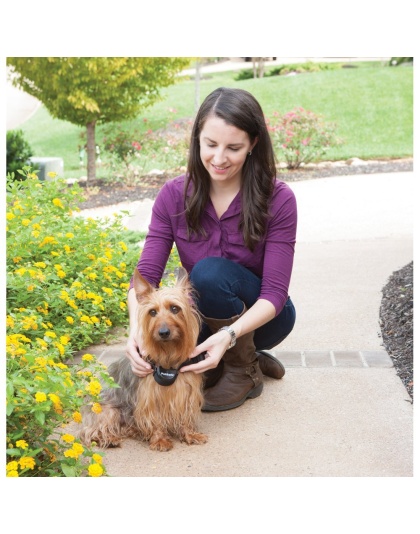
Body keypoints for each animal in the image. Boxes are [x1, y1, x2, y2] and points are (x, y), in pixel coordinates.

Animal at [78, 268, 207, 452]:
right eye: (152, 312)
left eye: (175, 309)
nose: (163, 332)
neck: (168, 355)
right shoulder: (149, 397)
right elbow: (155, 420)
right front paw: (160, 440)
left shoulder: (186, 392)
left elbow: (185, 415)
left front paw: (190, 434)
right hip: (108, 409)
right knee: (91, 431)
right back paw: (109, 438)